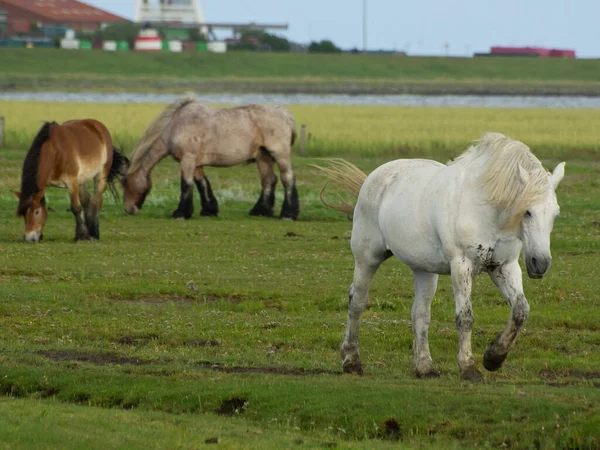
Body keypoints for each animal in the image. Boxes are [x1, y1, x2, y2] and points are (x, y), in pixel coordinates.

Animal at [122, 96, 300, 220]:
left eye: (125, 183)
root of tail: (283, 113)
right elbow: (202, 183)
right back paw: (260, 211)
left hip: (280, 154)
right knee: (269, 180)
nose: (129, 209)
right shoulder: (195, 163)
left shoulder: (188, 160)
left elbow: (186, 185)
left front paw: (180, 213)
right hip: (263, 157)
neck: (176, 126)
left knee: (287, 178)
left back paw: (288, 214)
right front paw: (209, 210)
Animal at [316, 134, 564, 380]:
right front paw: (468, 367)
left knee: (420, 313)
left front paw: (494, 357)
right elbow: (465, 317)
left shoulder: (505, 267)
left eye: (555, 214)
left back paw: (425, 367)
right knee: (356, 302)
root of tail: (374, 177)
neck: (486, 209)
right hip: (367, 258)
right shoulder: (461, 266)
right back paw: (351, 361)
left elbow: (521, 311)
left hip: (424, 270)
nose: (541, 263)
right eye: (527, 212)